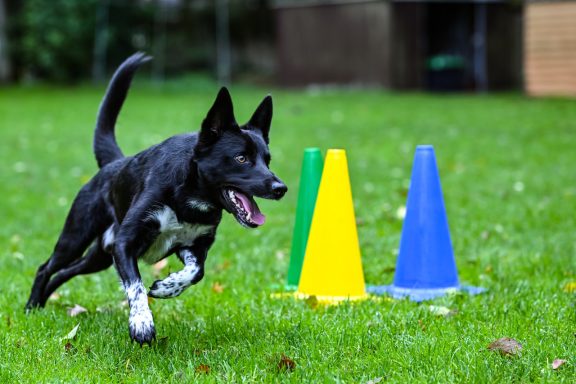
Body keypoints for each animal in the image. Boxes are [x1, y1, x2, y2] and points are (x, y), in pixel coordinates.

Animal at [25, 53, 286, 344]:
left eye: (267, 160)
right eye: (241, 158)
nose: (280, 188)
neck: (189, 194)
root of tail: (113, 165)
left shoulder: (194, 246)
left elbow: (196, 272)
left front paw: (166, 287)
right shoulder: (125, 244)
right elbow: (136, 286)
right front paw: (141, 322)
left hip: (100, 256)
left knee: (64, 272)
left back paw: (44, 301)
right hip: (76, 237)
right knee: (46, 267)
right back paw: (32, 307)